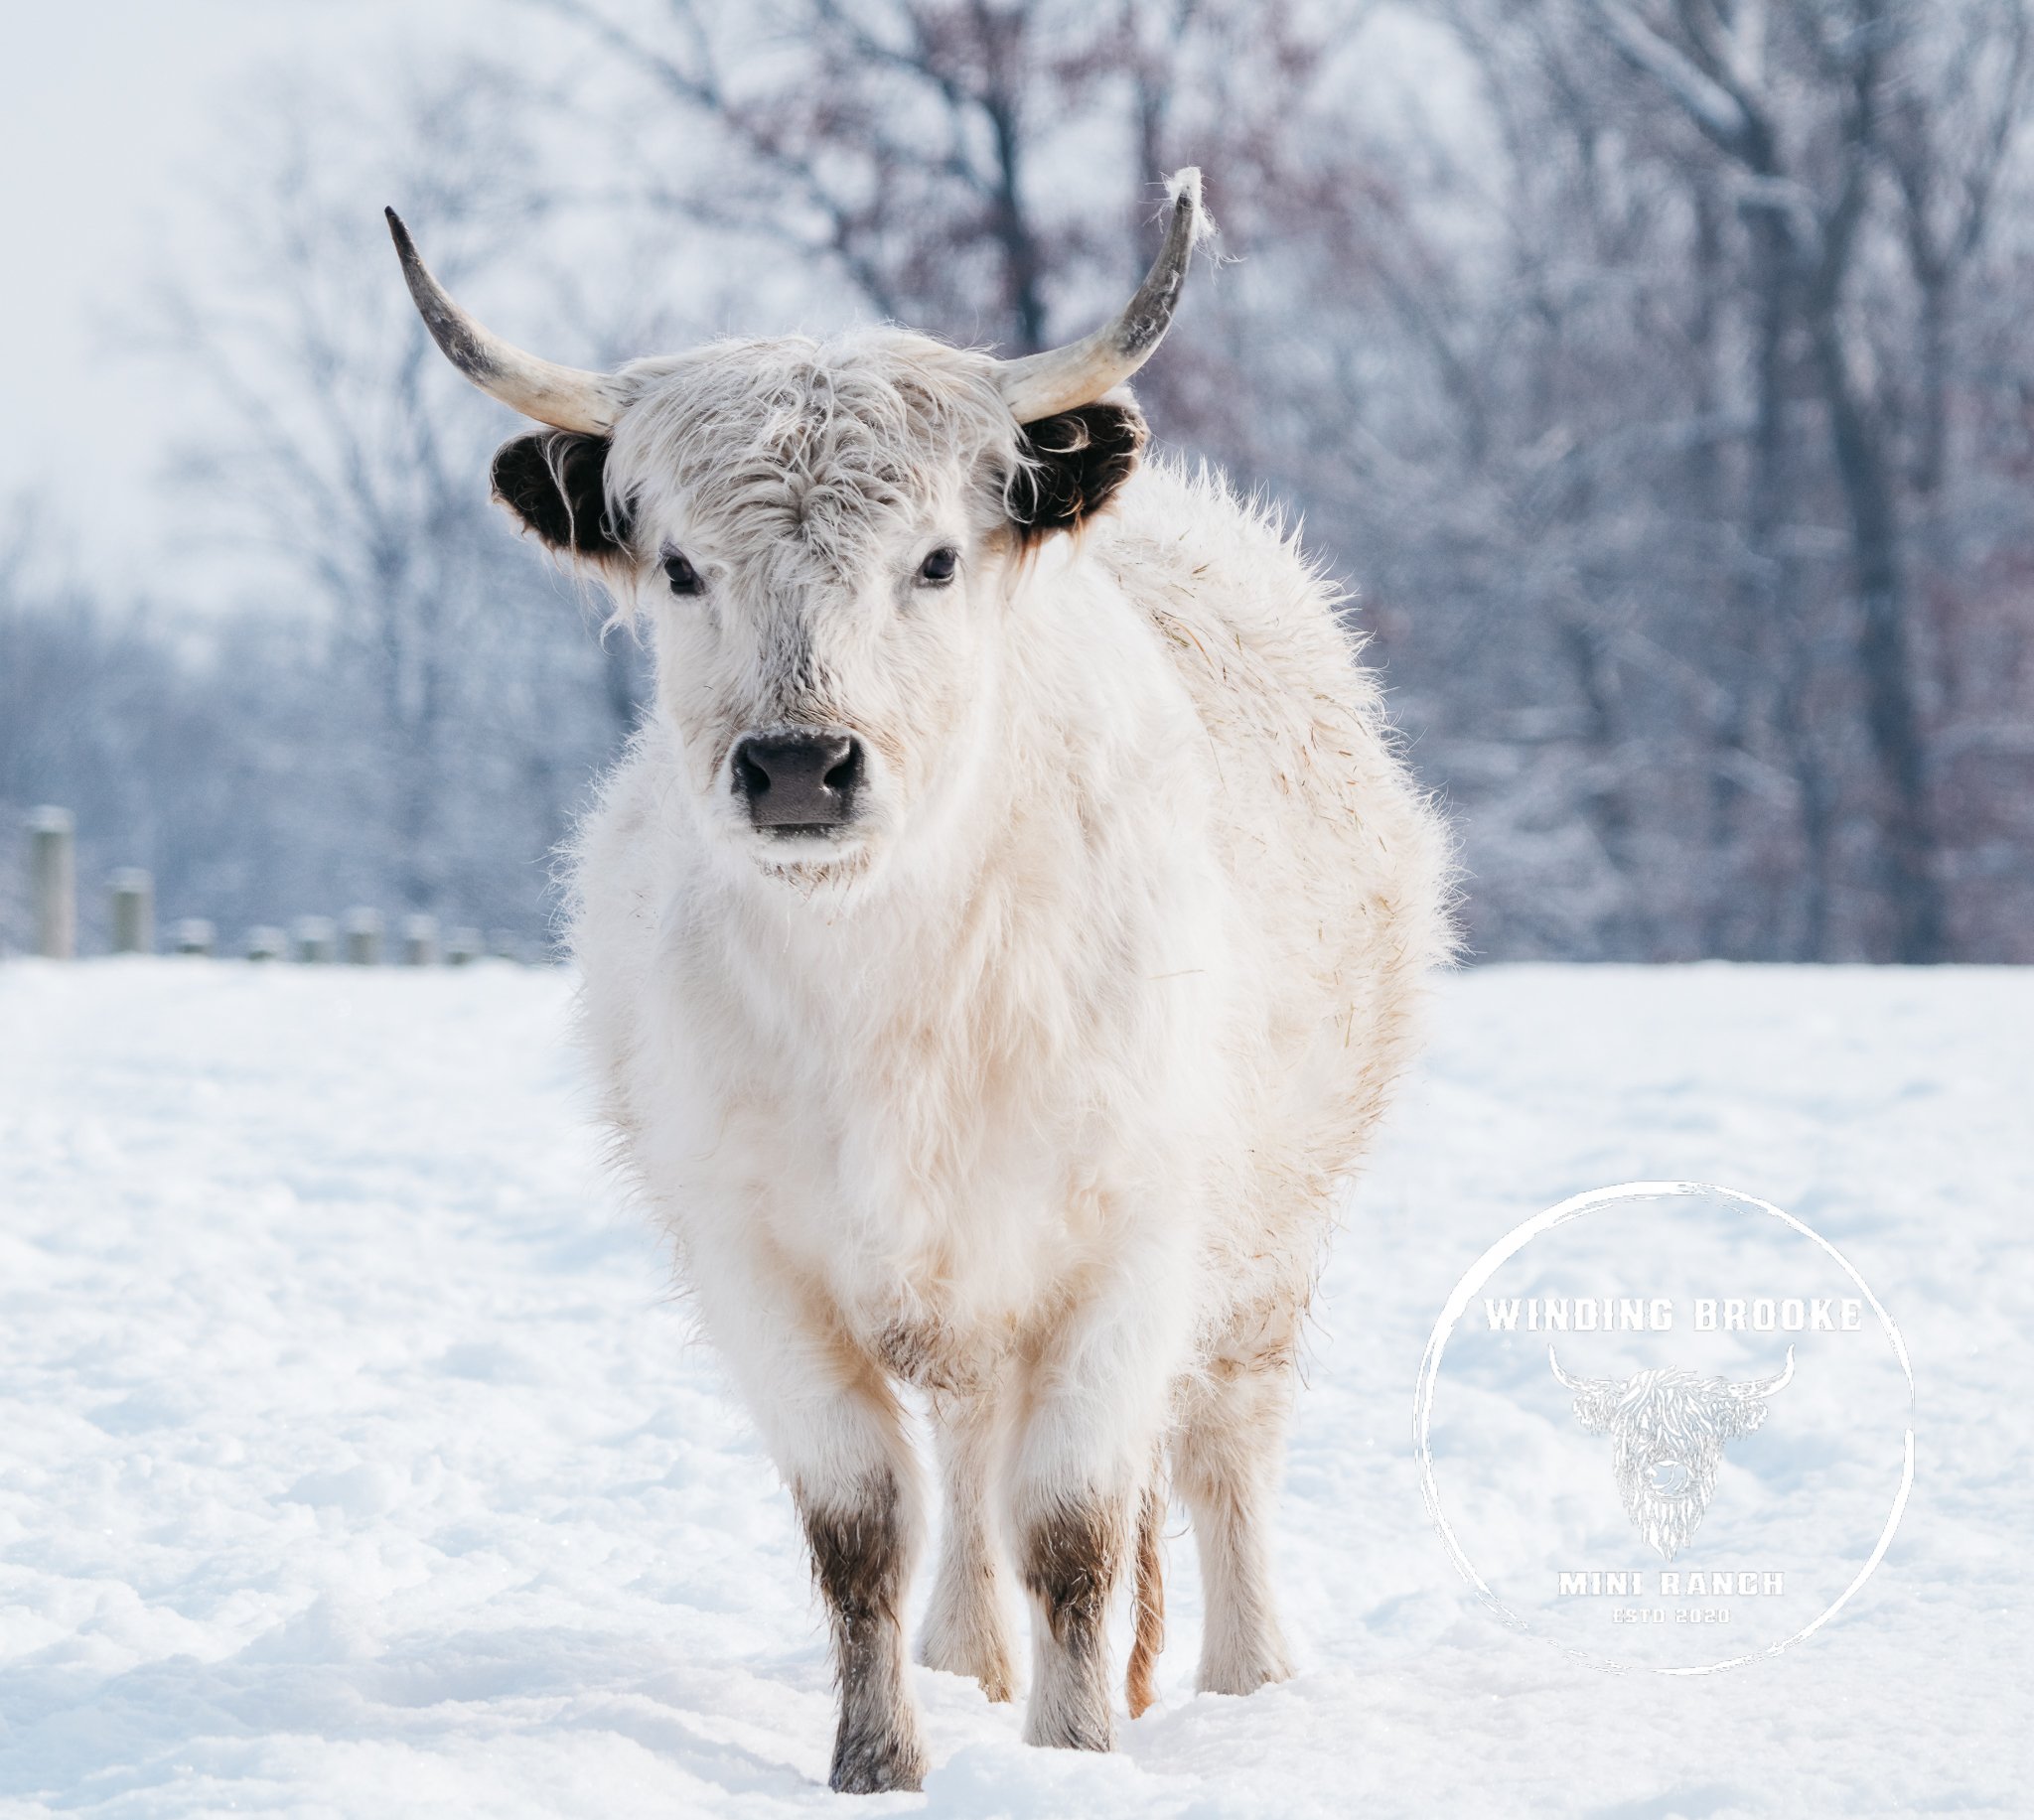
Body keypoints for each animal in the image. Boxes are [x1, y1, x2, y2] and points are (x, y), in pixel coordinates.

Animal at [390, 169, 1452, 1794]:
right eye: (681, 565)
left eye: (936, 559)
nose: (798, 766)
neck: (887, 1001)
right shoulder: (755, 1260)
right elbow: (862, 1525)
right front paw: (880, 1763)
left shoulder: (1130, 1250)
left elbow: (1077, 1522)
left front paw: (1073, 1757)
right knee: (966, 1449)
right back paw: (964, 1658)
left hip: (1275, 1229)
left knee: (1223, 1447)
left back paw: (1252, 1675)